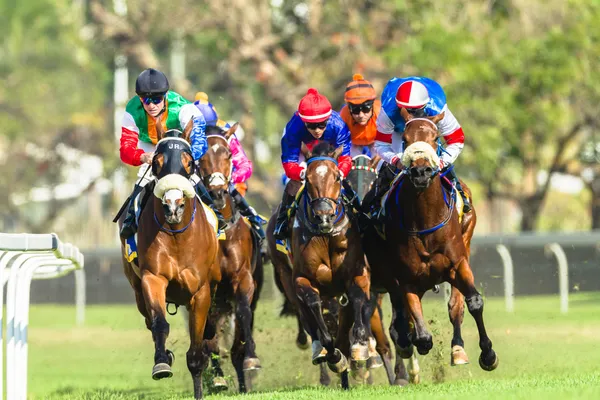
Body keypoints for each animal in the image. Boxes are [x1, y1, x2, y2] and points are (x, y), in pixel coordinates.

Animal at [118, 123, 221, 398]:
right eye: (157, 162)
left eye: (189, 162)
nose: (173, 206)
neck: (177, 236)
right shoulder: (153, 278)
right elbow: (159, 324)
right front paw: (162, 363)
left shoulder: (200, 291)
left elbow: (196, 348)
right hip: (136, 289)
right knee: (148, 319)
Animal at [196, 123, 264, 392]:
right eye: (200, 157)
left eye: (228, 154)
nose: (217, 192)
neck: (222, 228)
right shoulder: (207, 287)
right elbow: (209, 331)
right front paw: (216, 375)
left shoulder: (243, 277)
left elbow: (244, 311)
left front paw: (251, 358)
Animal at [364, 108, 500, 374]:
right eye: (405, 139)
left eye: (435, 137)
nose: (421, 172)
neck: (425, 219)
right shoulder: (406, 278)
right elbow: (420, 332)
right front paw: (416, 342)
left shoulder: (458, 263)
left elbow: (473, 302)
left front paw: (488, 354)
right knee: (401, 323)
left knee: (455, 306)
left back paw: (457, 350)